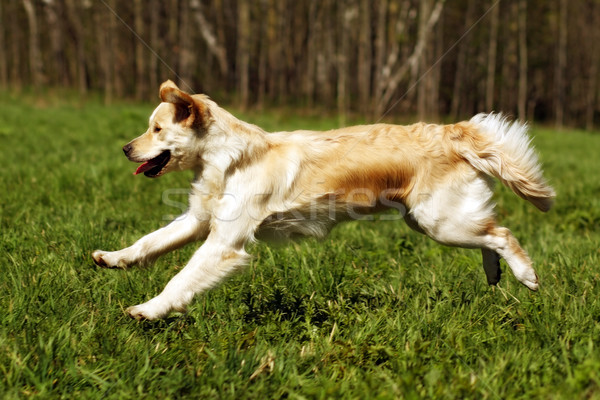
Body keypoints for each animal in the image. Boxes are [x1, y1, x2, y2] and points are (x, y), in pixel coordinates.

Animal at [91, 79, 556, 320]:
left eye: (156, 130)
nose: (124, 149)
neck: (226, 158)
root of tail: (451, 130)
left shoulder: (224, 244)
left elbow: (180, 279)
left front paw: (149, 309)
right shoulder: (198, 220)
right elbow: (149, 243)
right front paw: (113, 258)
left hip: (439, 221)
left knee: (502, 233)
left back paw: (526, 276)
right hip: (434, 221)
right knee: (489, 234)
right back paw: (495, 275)